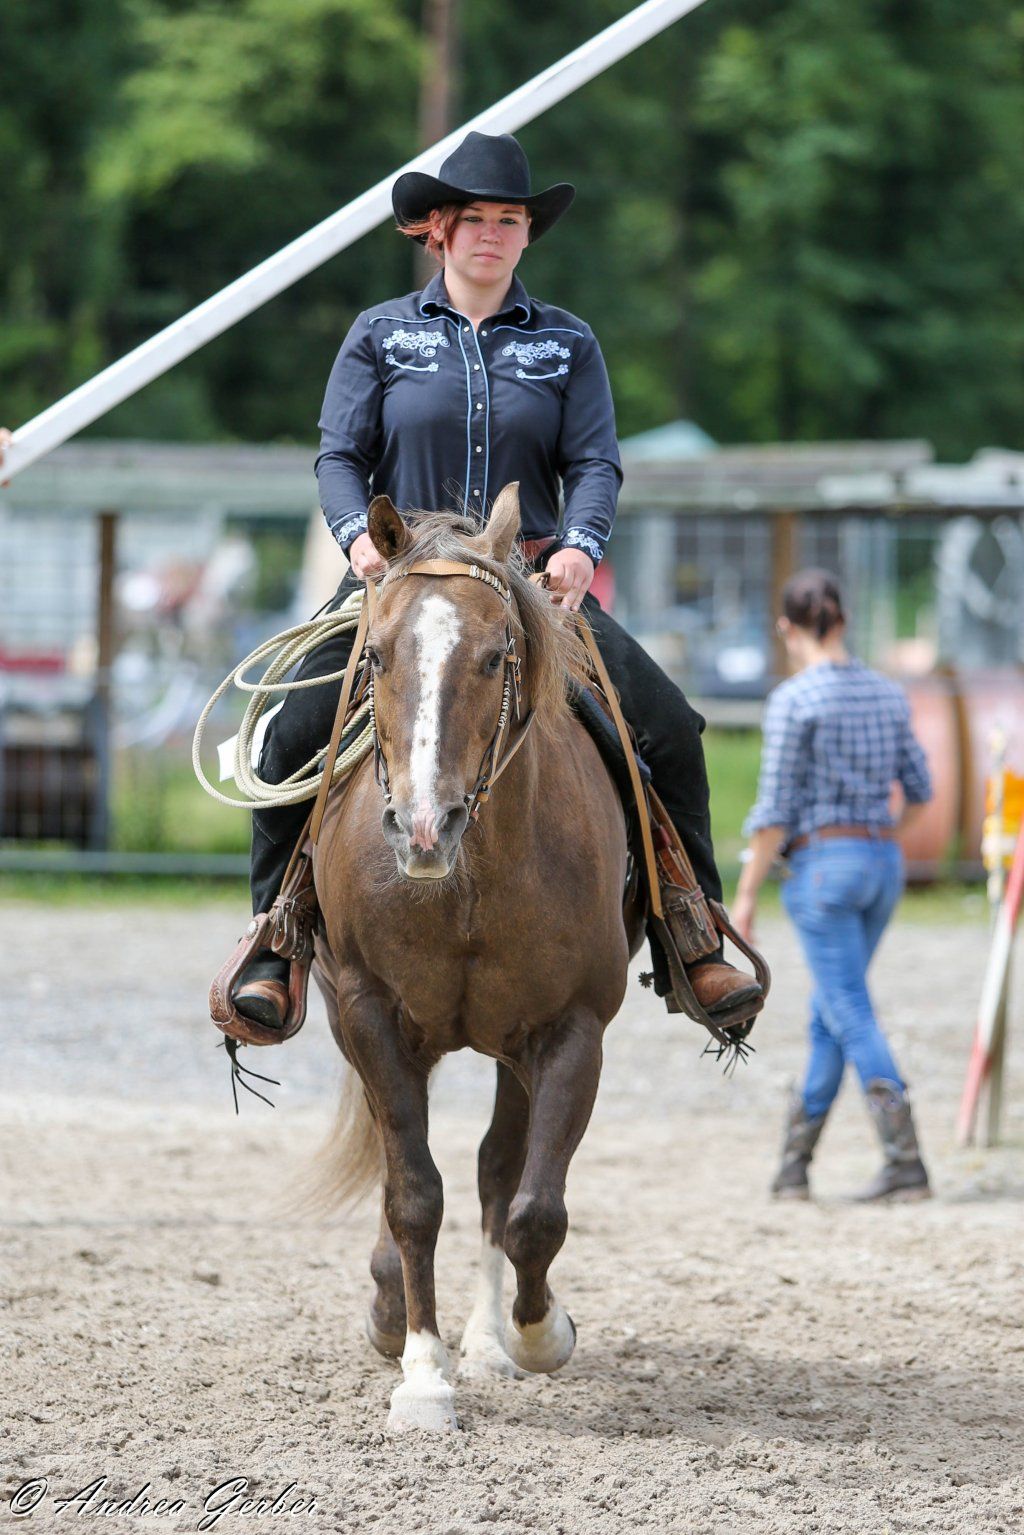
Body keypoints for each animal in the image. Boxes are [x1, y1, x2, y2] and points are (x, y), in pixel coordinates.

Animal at [312, 482, 645, 1433]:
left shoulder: (570, 1030)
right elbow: (414, 1193)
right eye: (377, 656)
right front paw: (423, 1373)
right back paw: (394, 1309)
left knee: (500, 1170)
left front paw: (537, 1334)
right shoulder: (368, 1012)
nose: (424, 827)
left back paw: (492, 1339)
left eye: (498, 656)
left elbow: (532, 1205)